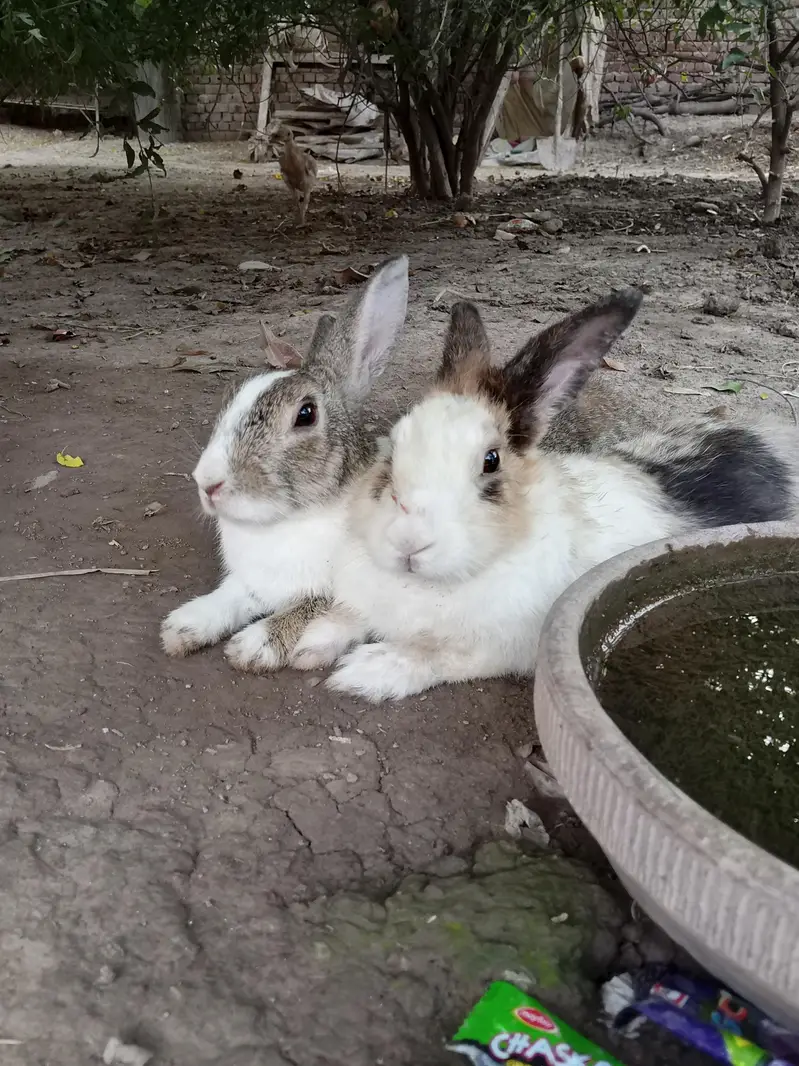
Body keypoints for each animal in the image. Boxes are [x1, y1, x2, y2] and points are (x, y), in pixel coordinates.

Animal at [159, 254, 409, 672]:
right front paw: (184, 626)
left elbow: (308, 608)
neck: (283, 521)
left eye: (305, 415)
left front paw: (252, 646)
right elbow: (232, 598)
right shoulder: (251, 582)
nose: (208, 483)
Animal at [286, 288, 799, 702]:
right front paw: (309, 644)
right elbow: (348, 615)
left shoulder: (497, 646)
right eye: (392, 448)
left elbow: (434, 652)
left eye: (491, 461)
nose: (409, 542)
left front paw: (364, 673)